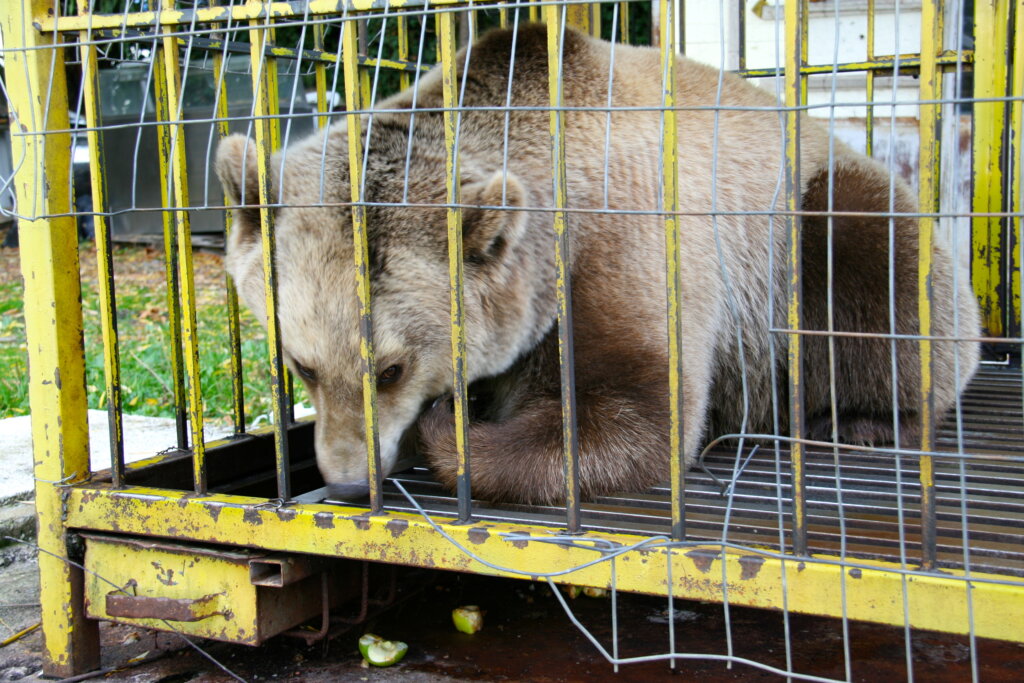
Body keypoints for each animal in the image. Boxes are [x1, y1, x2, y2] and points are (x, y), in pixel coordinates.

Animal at [214, 25, 974, 501]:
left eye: (392, 368)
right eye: (301, 365)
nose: (348, 480)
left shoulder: (626, 235)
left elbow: (640, 414)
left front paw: (452, 431)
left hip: (802, 224)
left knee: (873, 268)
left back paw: (860, 420)